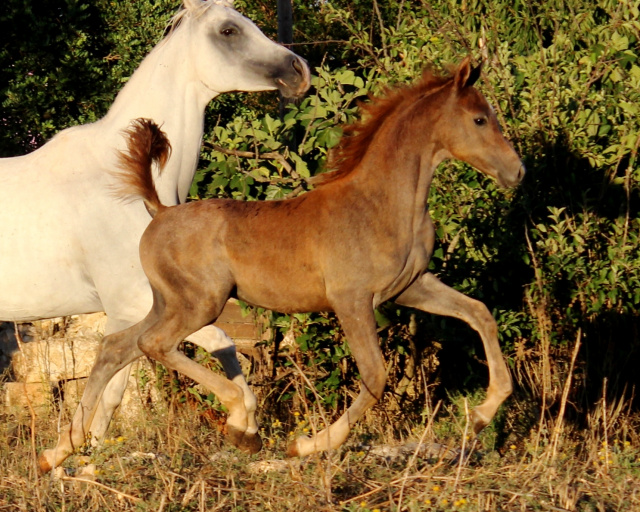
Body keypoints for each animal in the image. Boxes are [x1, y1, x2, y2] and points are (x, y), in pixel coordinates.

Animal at [0, 0, 310, 460]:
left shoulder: (143, 307)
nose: (299, 70)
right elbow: (197, 346)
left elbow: (120, 388)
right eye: (229, 30)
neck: (126, 182)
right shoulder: (134, 304)